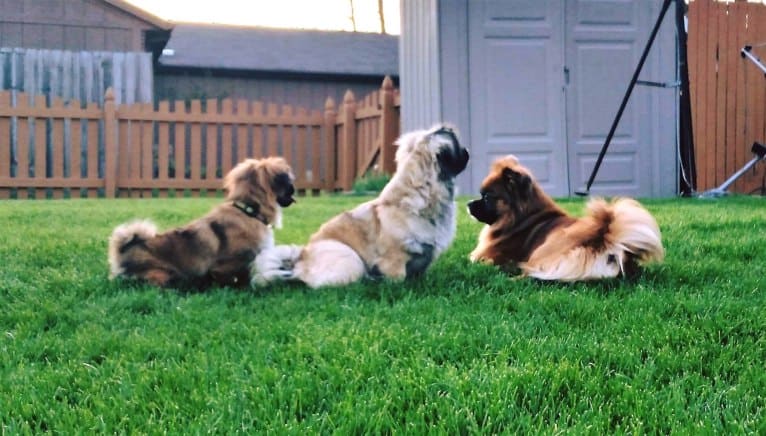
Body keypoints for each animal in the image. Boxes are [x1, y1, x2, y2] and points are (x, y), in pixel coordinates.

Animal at [108, 158, 296, 290]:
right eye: (288, 185)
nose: (294, 189)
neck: (249, 211)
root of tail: (124, 250)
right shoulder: (224, 266)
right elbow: (237, 279)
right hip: (163, 274)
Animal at [468, 155, 664, 282]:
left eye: (486, 197)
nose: (469, 204)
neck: (522, 219)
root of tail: (603, 237)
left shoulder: (486, 256)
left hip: (543, 250)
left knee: (530, 273)